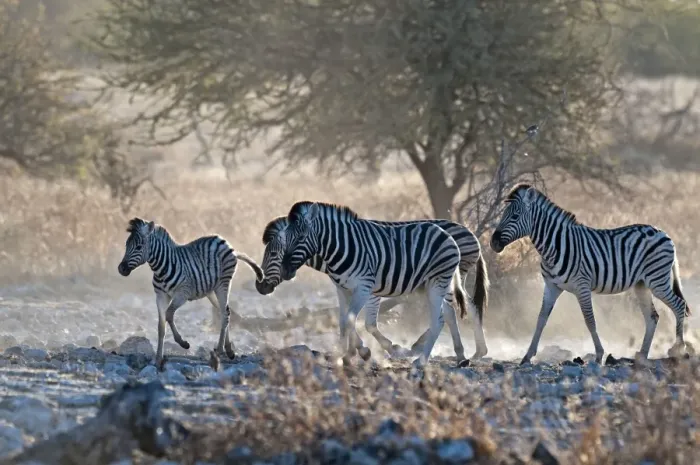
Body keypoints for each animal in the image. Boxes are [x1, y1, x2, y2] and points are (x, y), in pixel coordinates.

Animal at [117, 218, 264, 367]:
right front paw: (158, 358)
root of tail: (224, 242)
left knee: (225, 313)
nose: (121, 269)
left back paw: (220, 350)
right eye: (126, 245)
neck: (161, 269)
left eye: (139, 247)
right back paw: (229, 350)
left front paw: (183, 343)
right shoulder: (160, 296)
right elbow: (161, 326)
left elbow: (169, 315)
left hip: (223, 284)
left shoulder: (182, 294)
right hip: (210, 290)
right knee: (225, 312)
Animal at [255, 216, 489, 361]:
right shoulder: (344, 286)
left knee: (455, 309)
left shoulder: (371, 287)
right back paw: (472, 351)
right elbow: (347, 319)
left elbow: (367, 323)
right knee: (463, 308)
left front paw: (381, 349)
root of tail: (472, 235)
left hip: (448, 278)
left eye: (274, 254)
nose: (260, 286)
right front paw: (354, 350)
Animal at [490, 184, 692, 364]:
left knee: (679, 305)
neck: (554, 246)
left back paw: (678, 349)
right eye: (504, 215)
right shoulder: (551, 286)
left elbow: (590, 321)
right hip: (641, 285)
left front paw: (599, 355)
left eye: (515, 216)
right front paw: (527, 356)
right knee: (652, 317)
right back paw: (642, 355)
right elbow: (541, 319)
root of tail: (664, 233)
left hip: (657, 280)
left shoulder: (582, 286)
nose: (493, 243)